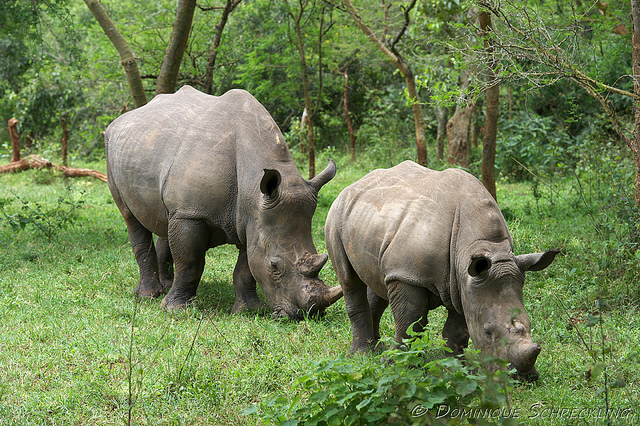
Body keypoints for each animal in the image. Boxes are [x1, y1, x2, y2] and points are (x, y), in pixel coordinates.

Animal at [105, 85, 342, 319]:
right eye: (274, 265)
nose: (305, 315)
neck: (252, 186)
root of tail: (121, 119)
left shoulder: (253, 218)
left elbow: (246, 269)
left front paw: (249, 310)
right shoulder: (192, 213)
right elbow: (190, 263)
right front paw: (175, 310)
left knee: (166, 219)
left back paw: (166, 286)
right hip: (112, 150)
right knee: (131, 217)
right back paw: (148, 296)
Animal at [325, 161, 558, 381]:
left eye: (530, 324)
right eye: (487, 331)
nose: (522, 378)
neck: (484, 245)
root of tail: (354, 184)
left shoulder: (466, 281)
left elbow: (457, 331)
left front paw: (458, 368)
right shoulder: (409, 275)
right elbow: (410, 321)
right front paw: (398, 366)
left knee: (378, 281)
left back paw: (377, 348)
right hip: (335, 215)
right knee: (349, 280)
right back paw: (361, 354)